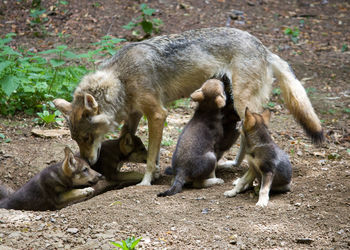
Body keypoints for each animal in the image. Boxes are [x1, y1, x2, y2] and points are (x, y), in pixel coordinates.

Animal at [53, 26, 324, 186]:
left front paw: (146, 181)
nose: (89, 162)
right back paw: (234, 165)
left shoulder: (158, 114)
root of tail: (265, 48)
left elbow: (151, 157)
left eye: (88, 138)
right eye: (77, 139)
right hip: (239, 106)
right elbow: (129, 141)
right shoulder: (134, 115)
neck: (121, 79)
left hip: (243, 105)